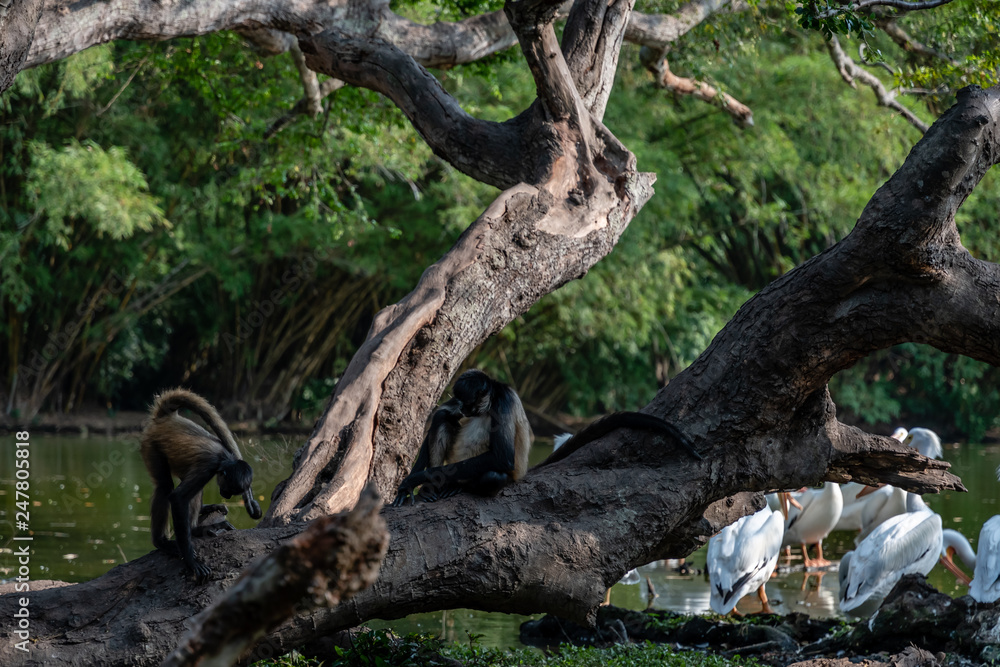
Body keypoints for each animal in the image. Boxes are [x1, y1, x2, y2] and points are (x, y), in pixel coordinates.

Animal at [140, 388, 262, 581]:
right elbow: (177, 497)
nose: (226, 495)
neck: (224, 457)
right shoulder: (208, 467)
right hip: (151, 444)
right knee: (165, 486)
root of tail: (167, 418)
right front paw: (190, 561)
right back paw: (164, 541)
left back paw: (197, 525)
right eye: (229, 489)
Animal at [392, 369, 533, 506]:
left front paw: (416, 478)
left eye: (467, 403)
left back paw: (458, 486)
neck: (491, 401)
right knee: (442, 416)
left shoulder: (504, 400)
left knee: (493, 477)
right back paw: (431, 488)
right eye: (460, 401)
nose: (461, 407)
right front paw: (407, 488)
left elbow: (503, 458)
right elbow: (442, 412)